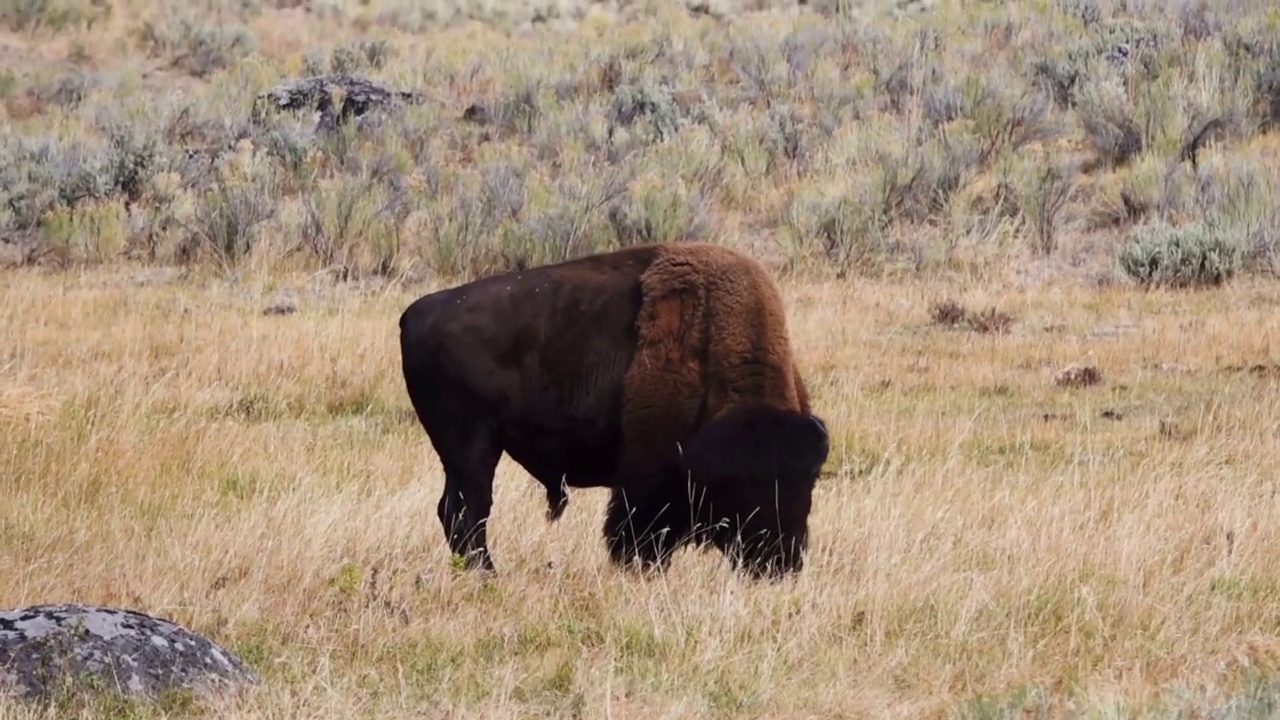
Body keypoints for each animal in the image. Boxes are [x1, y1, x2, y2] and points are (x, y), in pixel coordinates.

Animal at [401, 240, 839, 576]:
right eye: (743, 484)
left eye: (809, 481)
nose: (779, 562)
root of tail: (414, 316)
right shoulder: (647, 477)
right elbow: (636, 533)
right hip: (473, 448)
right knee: (467, 512)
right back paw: (488, 575)